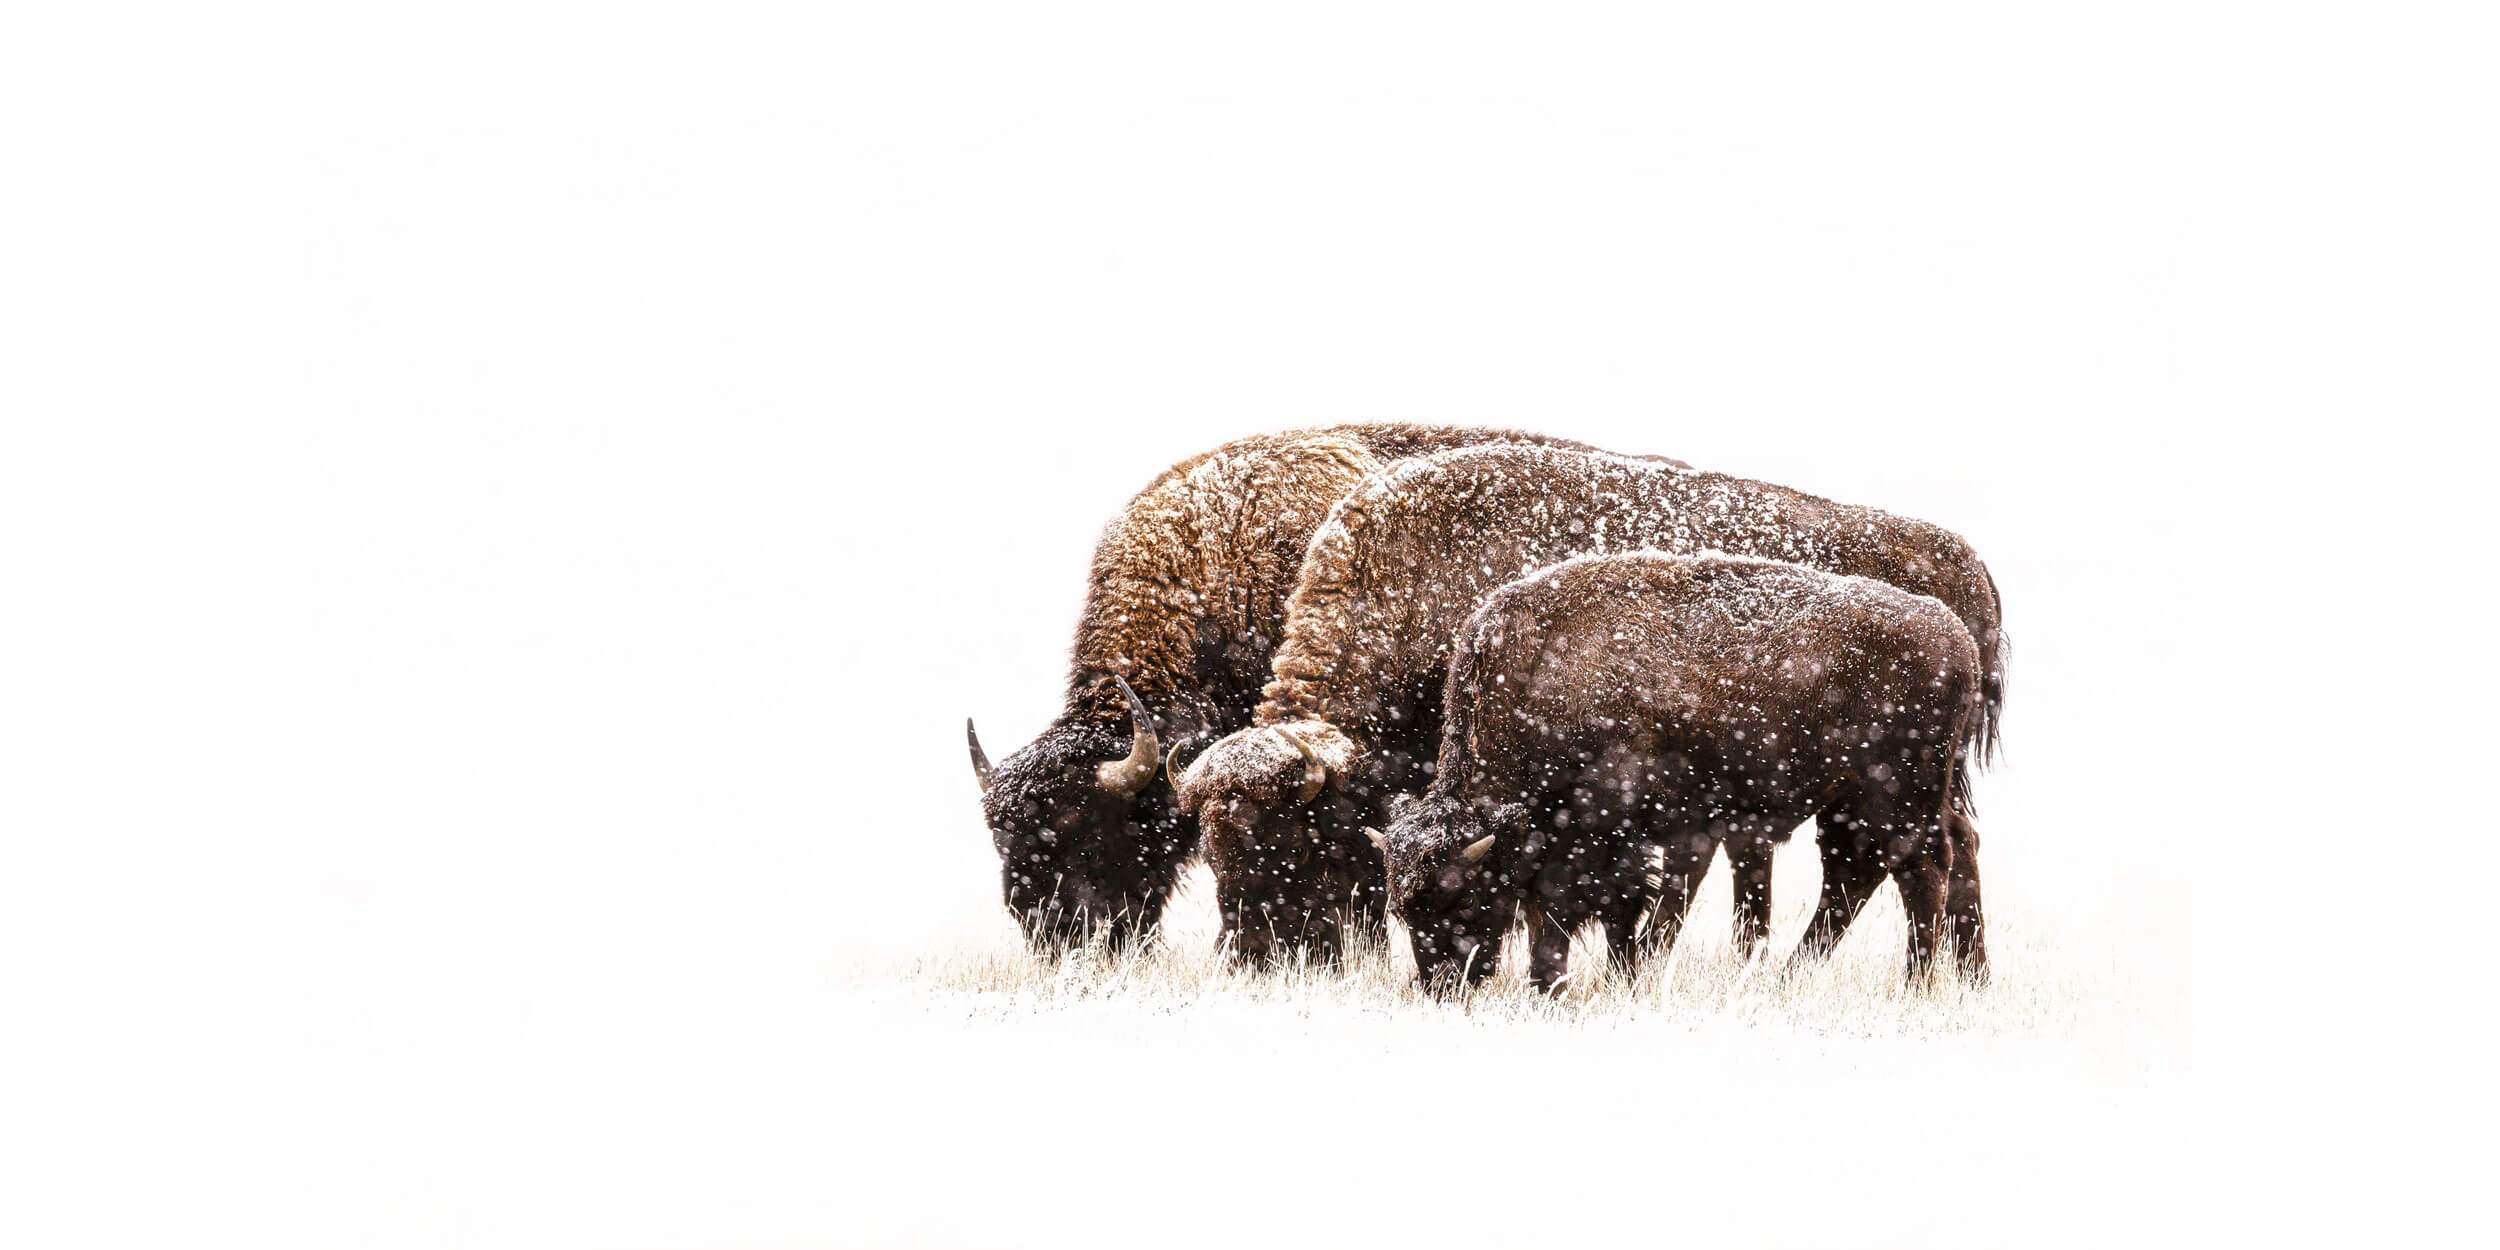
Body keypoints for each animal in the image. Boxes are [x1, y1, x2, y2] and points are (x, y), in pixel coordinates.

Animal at [1380, 552, 1980, 990]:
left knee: (1915, 869)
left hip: (1895, 794)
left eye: (1462, 896)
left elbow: (1565, 905)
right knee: (1870, 873)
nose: (1440, 984)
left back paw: (1915, 985)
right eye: (1401, 911)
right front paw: (1618, 975)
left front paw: (1553, 983)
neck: (1536, 676)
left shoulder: (1596, 824)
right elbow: (1620, 904)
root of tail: (1957, 635)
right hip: (1863, 802)